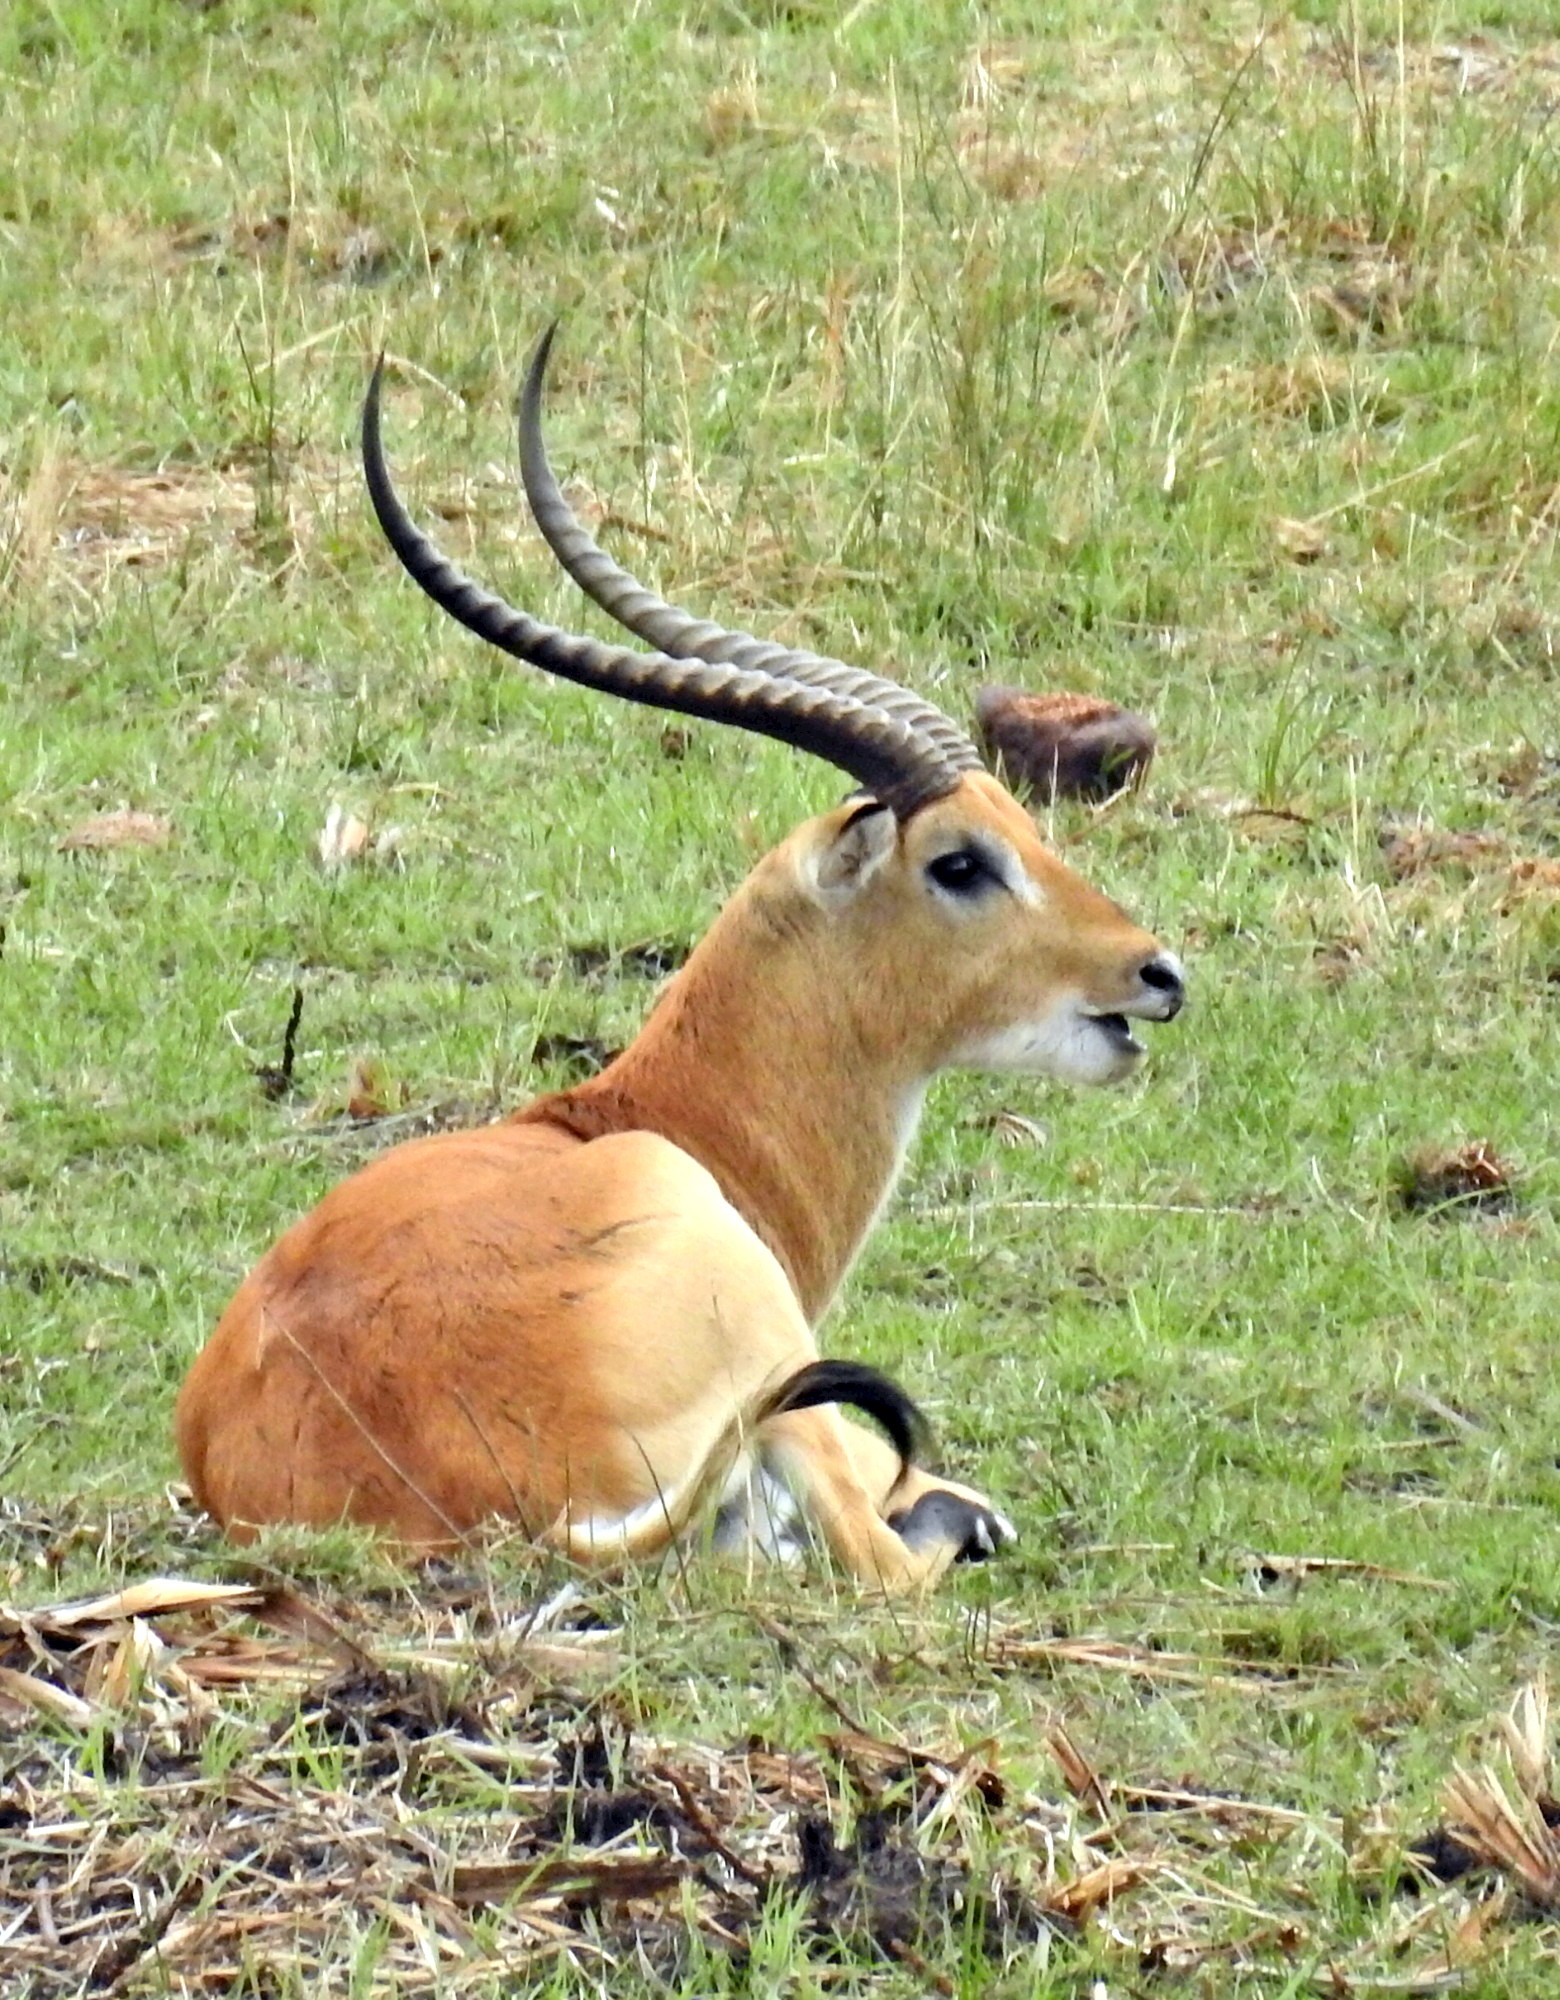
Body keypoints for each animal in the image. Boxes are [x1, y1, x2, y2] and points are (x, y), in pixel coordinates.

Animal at [177, 328, 1184, 1592]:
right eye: (960, 861)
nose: (1157, 972)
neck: (642, 1116)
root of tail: (516, 1506)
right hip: (777, 1362)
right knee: (883, 1554)